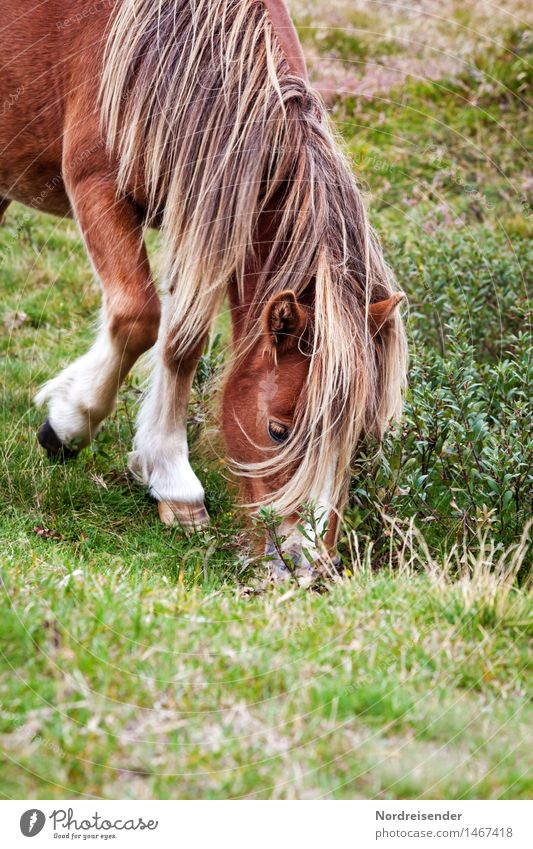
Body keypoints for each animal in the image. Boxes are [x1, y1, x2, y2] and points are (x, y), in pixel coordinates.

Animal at [1, 0, 408, 576]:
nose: (307, 566)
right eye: (279, 431)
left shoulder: (205, 223)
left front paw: (167, 478)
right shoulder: (96, 186)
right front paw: (71, 422)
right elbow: (138, 318)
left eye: (359, 440)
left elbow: (183, 342)